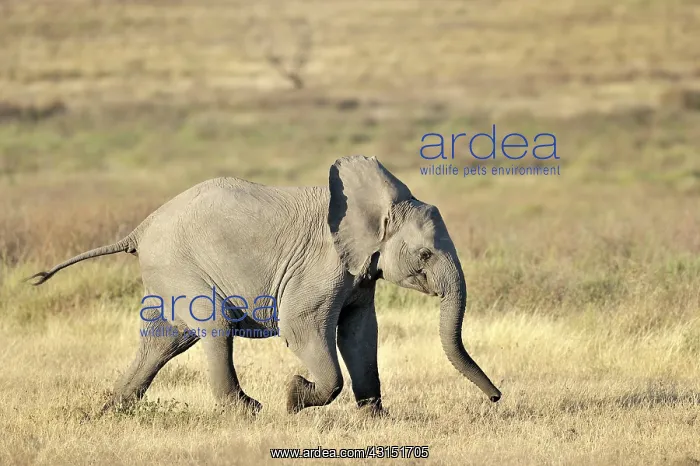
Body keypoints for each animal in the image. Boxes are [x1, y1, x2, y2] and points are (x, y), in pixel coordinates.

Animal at [27, 155, 501, 415]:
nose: (496, 398)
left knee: (165, 340)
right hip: (181, 266)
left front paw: (375, 420)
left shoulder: (359, 274)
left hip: (168, 273)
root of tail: (139, 230)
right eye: (425, 256)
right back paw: (246, 411)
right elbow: (303, 328)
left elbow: (360, 332)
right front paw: (293, 399)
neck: (376, 206)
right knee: (213, 327)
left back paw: (112, 411)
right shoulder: (322, 266)